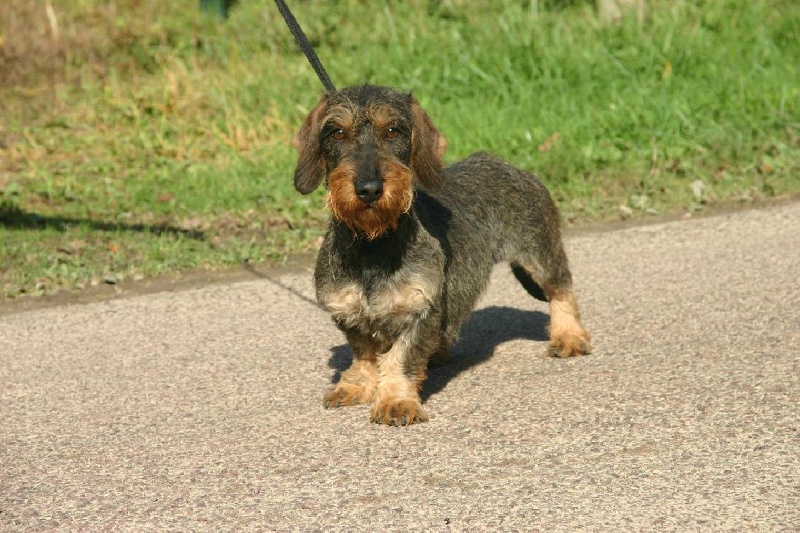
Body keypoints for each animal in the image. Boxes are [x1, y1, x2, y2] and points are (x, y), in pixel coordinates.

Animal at [290, 85, 592, 426]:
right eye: (337, 133)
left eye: (393, 130)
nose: (369, 189)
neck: (373, 244)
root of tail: (511, 166)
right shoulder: (347, 311)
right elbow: (365, 353)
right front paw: (358, 384)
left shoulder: (422, 310)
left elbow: (400, 359)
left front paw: (396, 400)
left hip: (541, 254)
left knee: (561, 291)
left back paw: (569, 336)